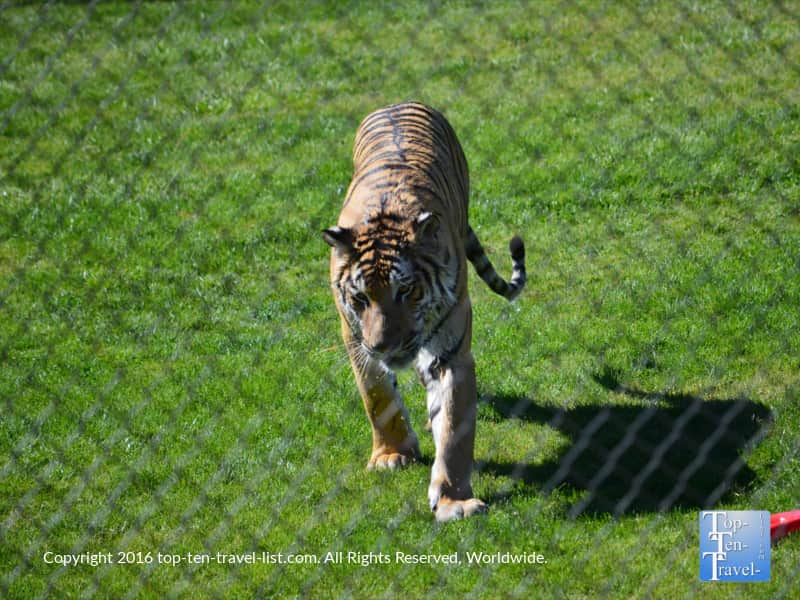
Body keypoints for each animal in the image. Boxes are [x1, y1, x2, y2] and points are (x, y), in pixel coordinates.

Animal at [323, 102, 526, 522]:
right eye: (360, 298)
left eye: (406, 290)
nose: (383, 346)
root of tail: (397, 102)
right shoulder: (354, 338)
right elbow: (377, 396)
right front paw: (391, 455)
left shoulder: (451, 352)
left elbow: (454, 428)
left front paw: (453, 501)